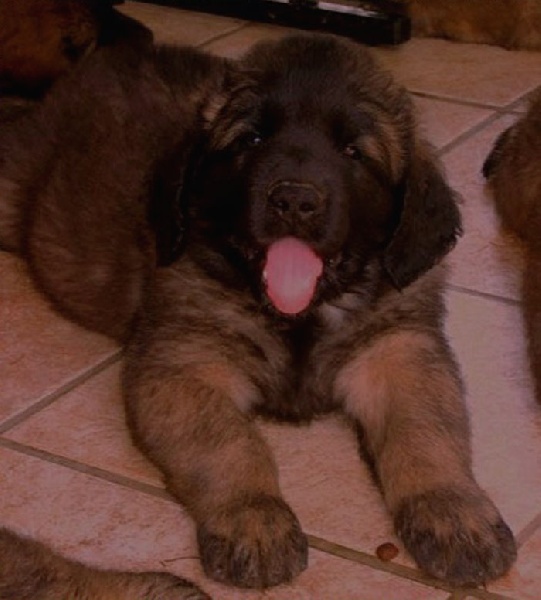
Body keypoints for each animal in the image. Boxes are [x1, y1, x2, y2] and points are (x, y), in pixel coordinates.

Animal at [0, 33, 516, 594]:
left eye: (353, 151)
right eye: (250, 140)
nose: (294, 199)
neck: (301, 316)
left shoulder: (401, 350)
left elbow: (427, 433)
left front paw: (455, 514)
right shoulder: (183, 362)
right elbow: (229, 441)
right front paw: (253, 518)